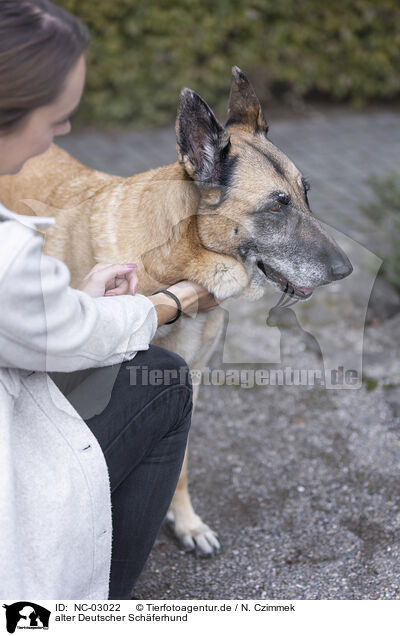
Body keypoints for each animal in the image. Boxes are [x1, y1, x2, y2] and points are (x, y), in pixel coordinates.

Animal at [0, 67, 350, 556]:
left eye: (306, 195)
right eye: (276, 207)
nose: (345, 270)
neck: (174, 255)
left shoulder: (192, 381)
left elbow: (182, 464)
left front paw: (185, 521)